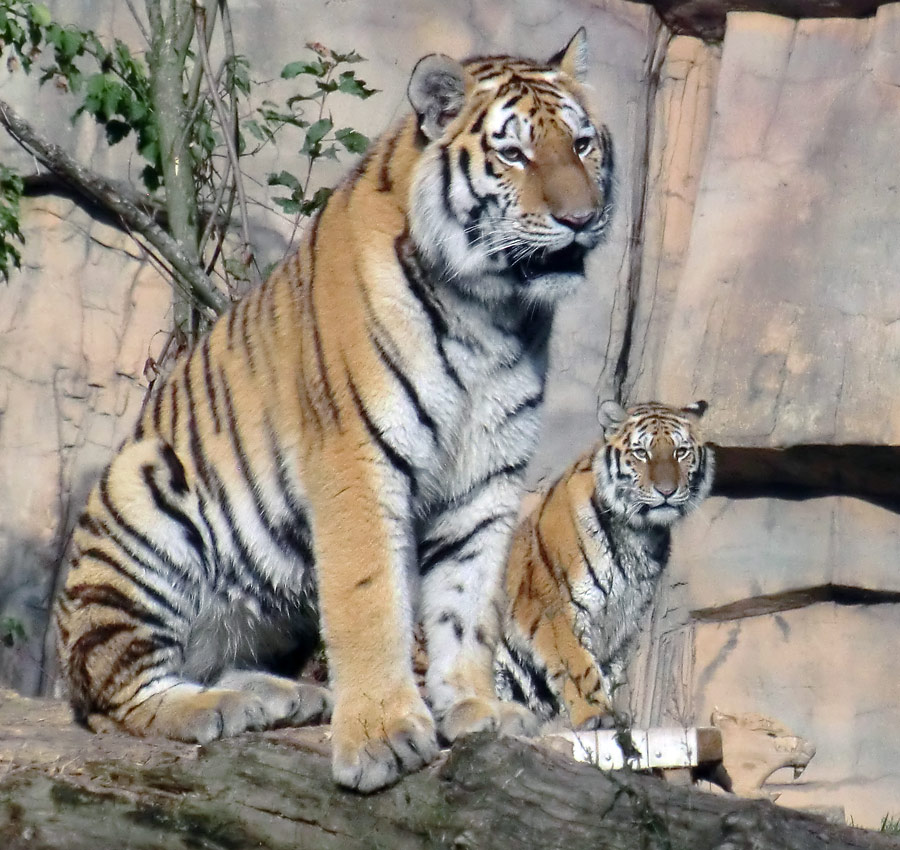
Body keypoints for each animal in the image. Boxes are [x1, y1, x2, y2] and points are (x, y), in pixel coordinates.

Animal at [54, 29, 612, 792]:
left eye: (582, 145)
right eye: (514, 154)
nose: (580, 221)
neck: (491, 312)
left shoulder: (486, 478)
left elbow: (468, 605)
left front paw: (474, 710)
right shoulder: (357, 453)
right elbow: (370, 598)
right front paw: (382, 737)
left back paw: (283, 697)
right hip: (141, 488)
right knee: (115, 695)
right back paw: (214, 709)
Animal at [496, 400, 712, 724]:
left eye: (681, 452)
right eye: (642, 453)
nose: (666, 491)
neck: (640, 533)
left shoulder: (625, 618)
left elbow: (609, 671)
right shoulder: (556, 609)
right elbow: (578, 667)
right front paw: (594, 714)